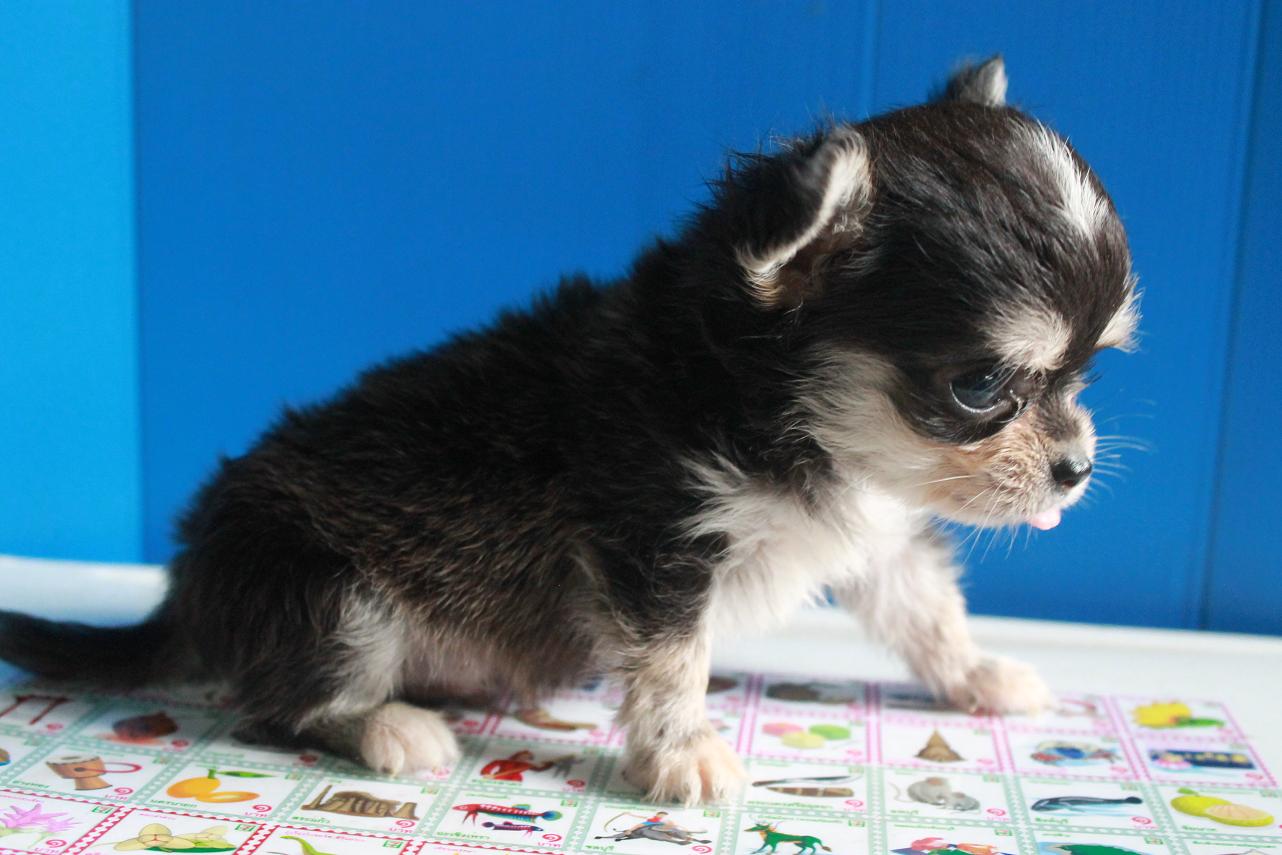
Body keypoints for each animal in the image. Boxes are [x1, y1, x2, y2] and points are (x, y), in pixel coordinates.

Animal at [0, 56, 1138, 805]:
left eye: (1089, 369)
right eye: (981, 385)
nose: (1076, 469)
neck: (782, 403)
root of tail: (188, 583)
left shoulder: (880, 526)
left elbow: (924, 610)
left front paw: (980, 675)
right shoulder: (655, 542)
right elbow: (672, 661)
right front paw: (680, 754)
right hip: (328, 593)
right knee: (275, 699)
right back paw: (387, 725)